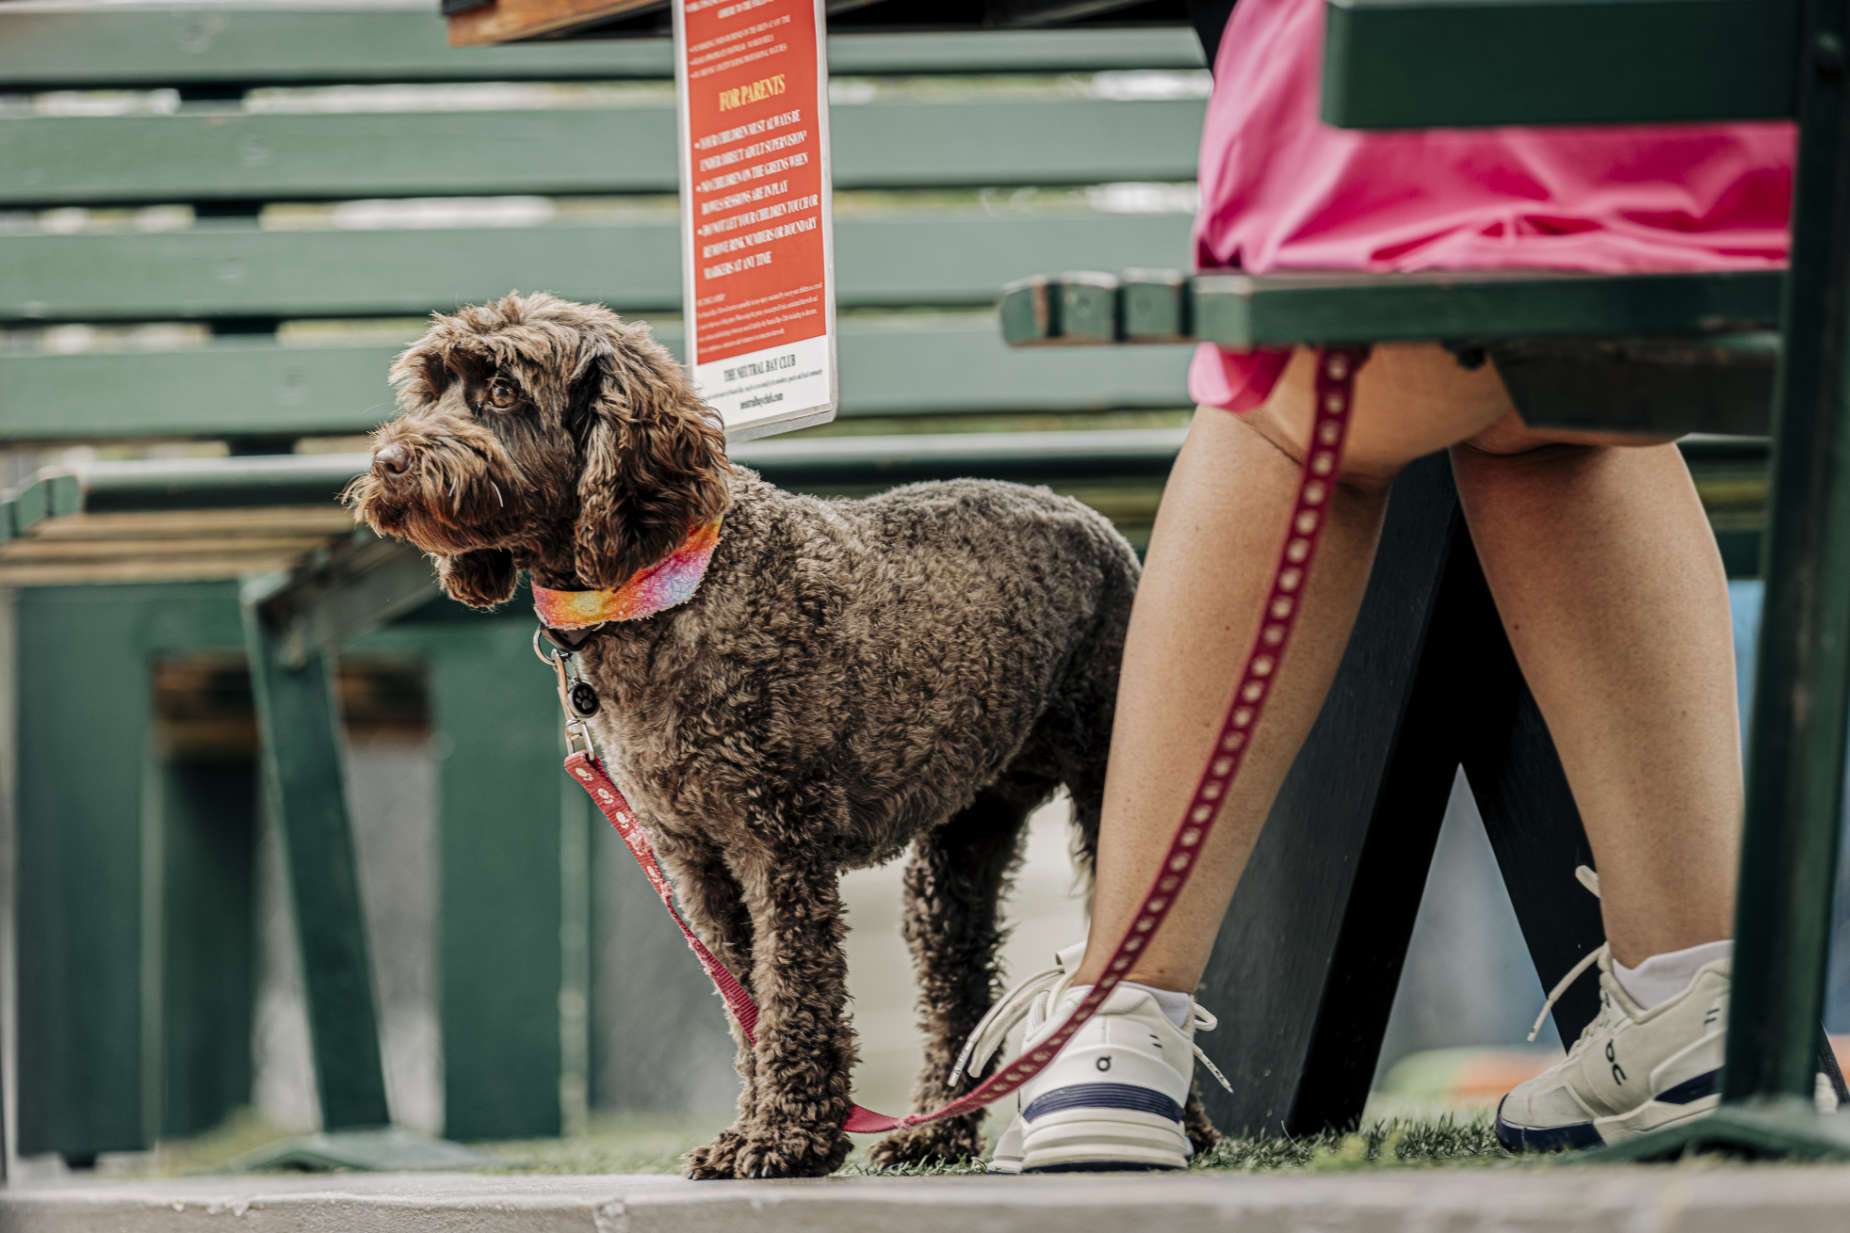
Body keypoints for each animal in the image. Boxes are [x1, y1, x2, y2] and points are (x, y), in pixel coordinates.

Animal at [347, 292, 1213, 1177]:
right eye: (431, 389)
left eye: (501, 392)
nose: (388, 460)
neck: (666, 586)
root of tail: (1089, 519)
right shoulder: (697, 859)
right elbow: (747, 997)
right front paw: (749, 1131)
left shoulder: (780, 840)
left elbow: (795, 986)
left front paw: (788, 1137)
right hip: (957, 849)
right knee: (958, 983)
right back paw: (935, 1131)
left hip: (1110, 780)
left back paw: (1179, 1123)